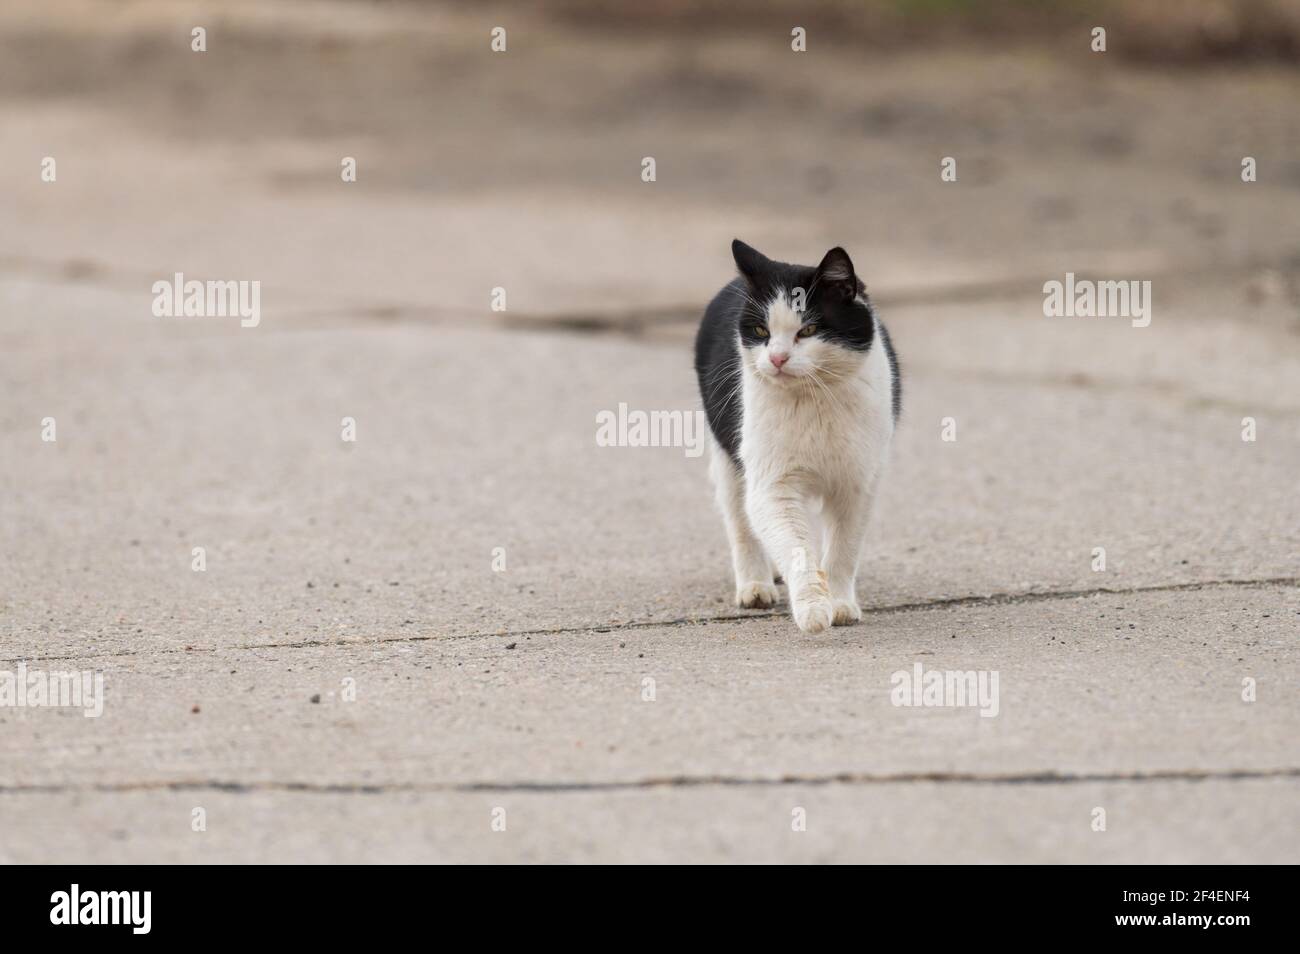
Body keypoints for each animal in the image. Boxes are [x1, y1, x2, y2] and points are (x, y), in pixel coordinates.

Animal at [696, 239, 899, 634]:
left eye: (808, 330)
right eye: (761, 332)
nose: (776, 358)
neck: (813, 398)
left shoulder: (858, 484)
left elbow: (843, 549)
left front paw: (840, 604)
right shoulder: (772, 485)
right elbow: (795, 546)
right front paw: (813, 609)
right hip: (729, 459)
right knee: (741, 522)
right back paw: (755, 586)